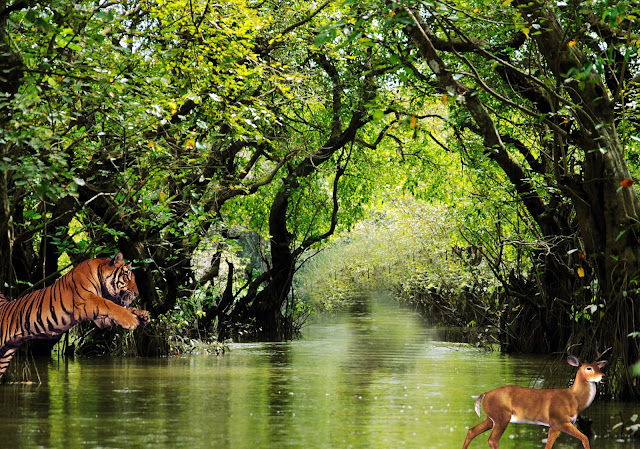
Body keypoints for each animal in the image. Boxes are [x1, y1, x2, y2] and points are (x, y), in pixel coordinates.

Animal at [0, 250, 150, 380]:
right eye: (127, 277)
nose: (137, 293)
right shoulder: (87, 300)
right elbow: (111, 305)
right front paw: (131, 320)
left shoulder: (100, 319)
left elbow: (123, 307)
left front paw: (143, 315)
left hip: (4, 356)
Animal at [462, 356, 608, 446]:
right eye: (588, 368)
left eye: (600, 368)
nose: (604, 377)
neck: (574, 398)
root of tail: (485, 394)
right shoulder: (559, 421)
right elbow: (585, 438)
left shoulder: (554, 426)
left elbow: (548, 446)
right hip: (502, 416)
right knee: (492, 440)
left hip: (491, 417)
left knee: (471, 431)